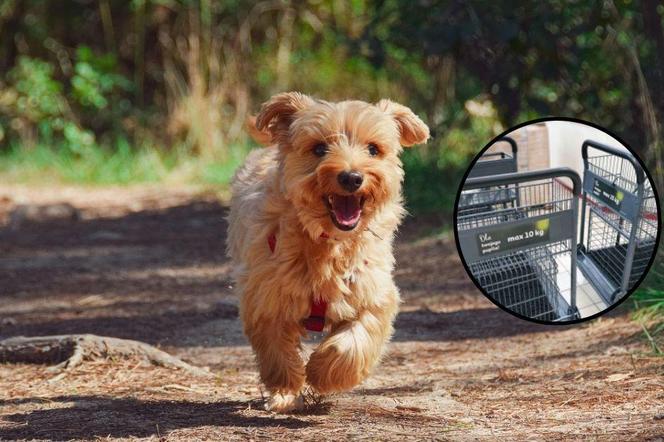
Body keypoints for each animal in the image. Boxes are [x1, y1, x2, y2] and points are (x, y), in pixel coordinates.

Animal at [226, 91, 428, 412]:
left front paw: (322, 372)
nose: (352, 177)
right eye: (319, 148)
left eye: (373, 149)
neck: (329, 243)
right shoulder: (266, 297)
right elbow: (277, 351)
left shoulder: (373, 293)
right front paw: (286, 390)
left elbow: (354, 341)